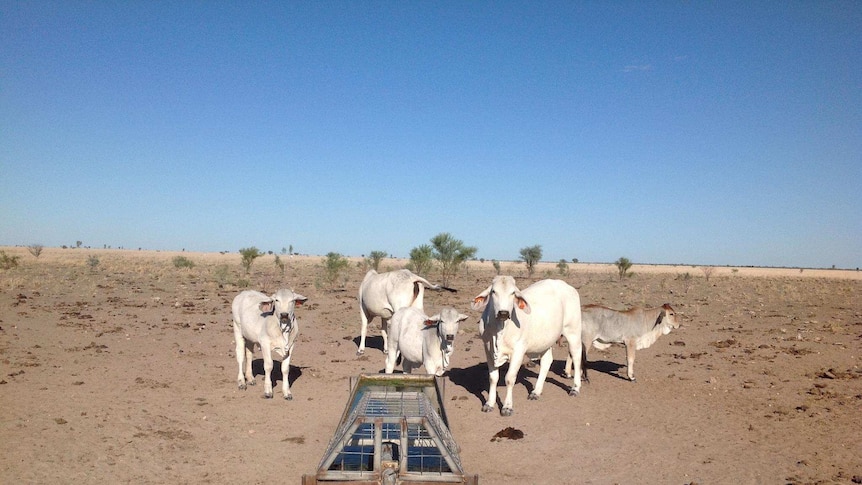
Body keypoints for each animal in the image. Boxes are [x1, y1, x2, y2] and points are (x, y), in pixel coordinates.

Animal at [472, 276, 588, 416]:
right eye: (494, 291)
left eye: (513, 293)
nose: (503, 313)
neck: (500, 330)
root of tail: (565, 285)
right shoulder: (488, 349)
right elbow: (493, 378)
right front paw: (489, 404)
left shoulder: (518, 351)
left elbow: (509, 378)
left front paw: (507, 407)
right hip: (546, 340)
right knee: (546, 361)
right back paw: (536, 391)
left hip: (573, 331)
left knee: (576, 356)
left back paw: (575, 388)